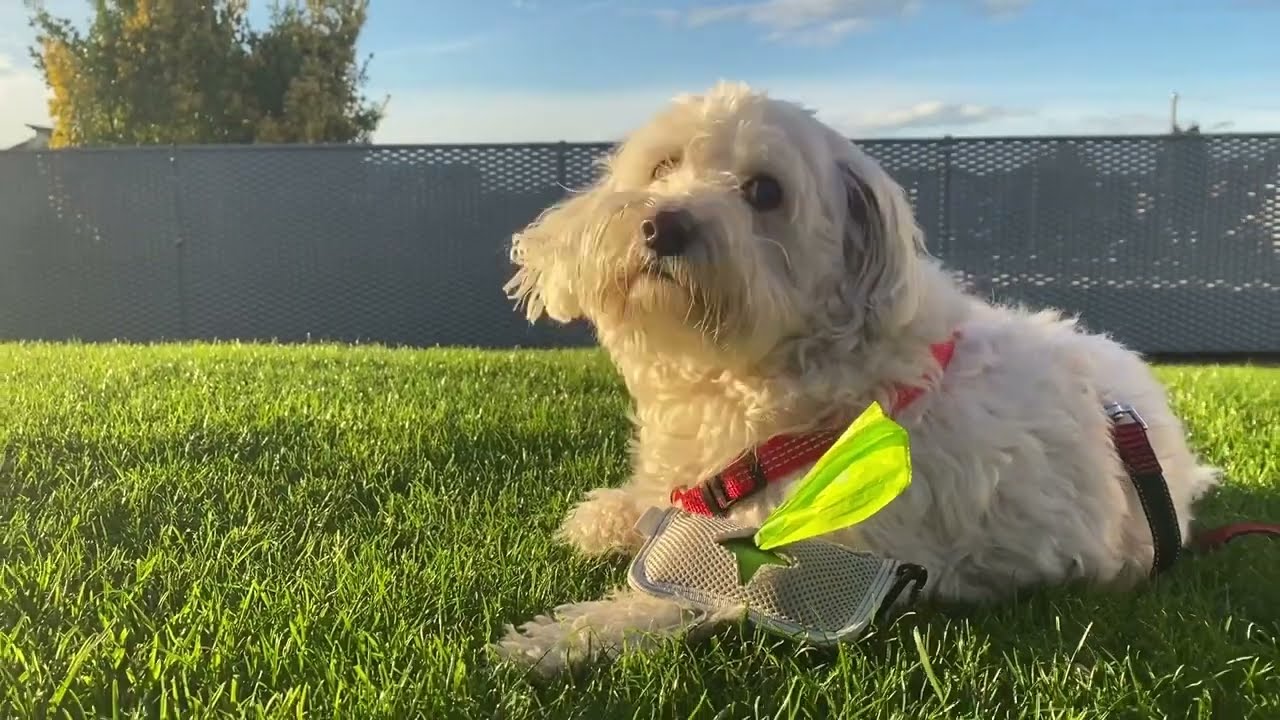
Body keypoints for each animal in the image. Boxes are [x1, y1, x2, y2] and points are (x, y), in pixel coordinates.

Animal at [488, 81, 1218, 676]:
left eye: (765, 191)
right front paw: (610, 515)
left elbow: (671, 598)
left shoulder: (789, 574)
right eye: (664, 166)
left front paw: (558, 639)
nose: (661, 224)